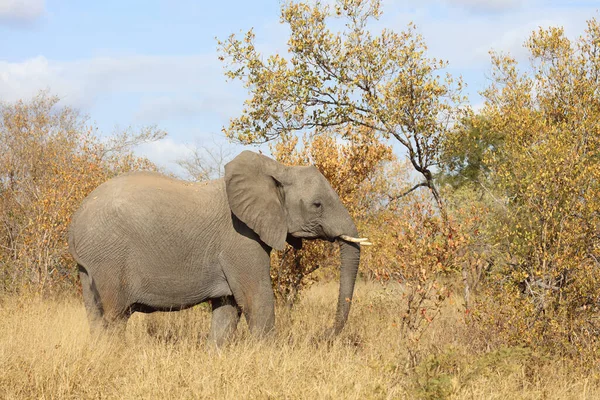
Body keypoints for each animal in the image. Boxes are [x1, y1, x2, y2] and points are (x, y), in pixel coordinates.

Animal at [70, 152, 370, 346]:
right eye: (317, 205)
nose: (325, 336)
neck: (276, 168)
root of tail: (74, 224)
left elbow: (227, 309)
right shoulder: (240, 239)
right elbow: (257, 299)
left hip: (90, 264)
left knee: (95, 314)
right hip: (109, 256)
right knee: (115, 316)